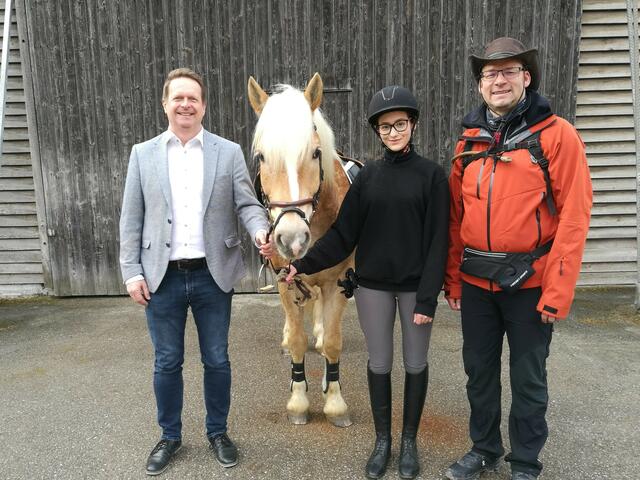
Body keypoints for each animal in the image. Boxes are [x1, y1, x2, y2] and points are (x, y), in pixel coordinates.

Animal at [248, 73, 352, 426]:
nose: (292, 238)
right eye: (261, 157)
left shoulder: (339, 283)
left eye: (316, 153)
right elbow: (296, 340)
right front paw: (298, 401)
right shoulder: (286, 280)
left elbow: (333, 343)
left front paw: (334, 403)